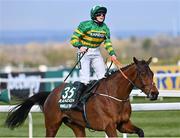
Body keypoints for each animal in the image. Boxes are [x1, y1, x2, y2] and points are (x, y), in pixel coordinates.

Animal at [4, 56, 159, 137]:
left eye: (152, 73)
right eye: (142, 73)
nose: (155, 93)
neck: (115, 95)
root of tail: (51, 93)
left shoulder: (123, 124)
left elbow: (141, 132)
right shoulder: (109, 126)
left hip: (76, 125)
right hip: (52, 124)